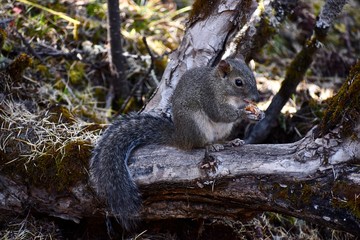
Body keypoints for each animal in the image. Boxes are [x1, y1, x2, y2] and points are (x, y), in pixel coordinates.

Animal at [88, 57, 260, 231]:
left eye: (253, 77)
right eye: (238, 82)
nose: (256, 98)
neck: (220, 85)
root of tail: (180, 136)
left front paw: (255, 114)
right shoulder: (209, 96)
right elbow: (219, 113)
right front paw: (245, 112)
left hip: (224, 129)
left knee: (220, 138)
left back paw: (230, 142)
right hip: (196, 124)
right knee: (197, 144)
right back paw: (210, 145)